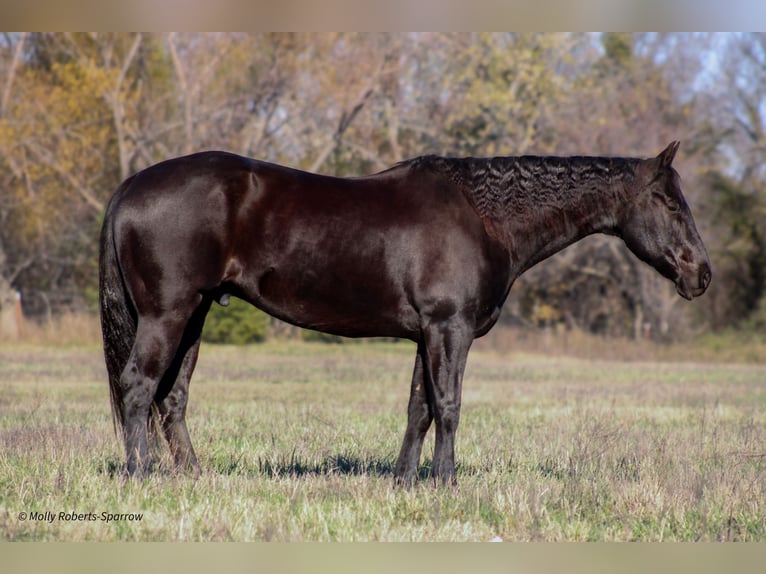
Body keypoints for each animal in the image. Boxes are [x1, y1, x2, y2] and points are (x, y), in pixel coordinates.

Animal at [100, 142, 712, 484]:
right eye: (669, 202)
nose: (701, 274)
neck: (484, 217)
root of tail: (130, 185)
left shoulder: (427, 335)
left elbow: (418, 407)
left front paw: (404, 482)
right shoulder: (450, 328)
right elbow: (449, 406)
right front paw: (445, 483)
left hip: (195, 315)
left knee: (172, 397)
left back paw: (193, 477)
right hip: (168, 314)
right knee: (138, 386)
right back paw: (140, 476)